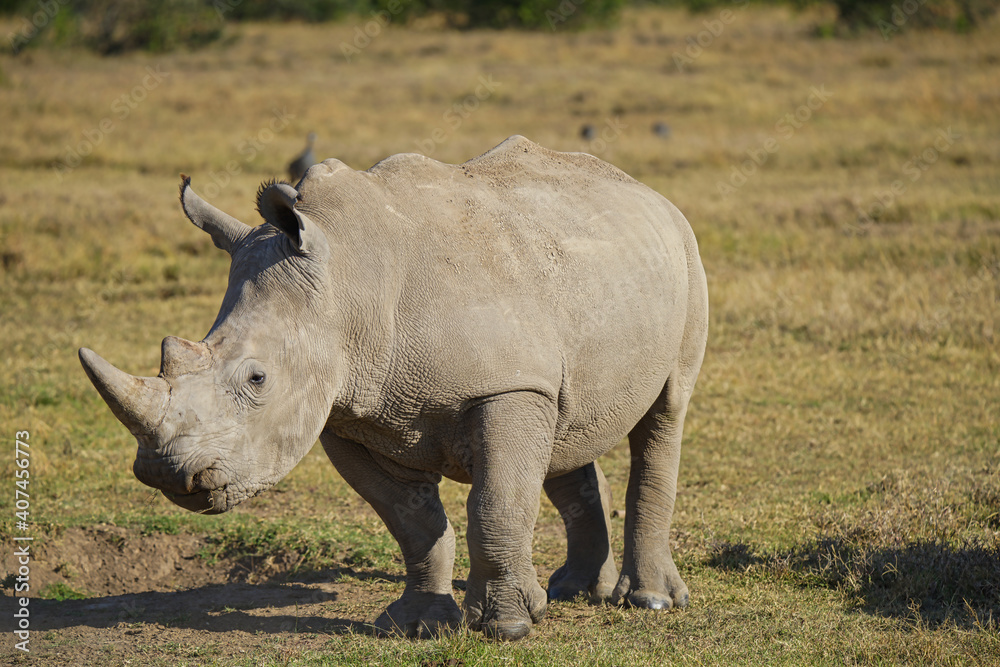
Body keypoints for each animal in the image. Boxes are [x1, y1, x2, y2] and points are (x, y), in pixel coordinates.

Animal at [79, 135, 708, 641]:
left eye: (257, 378)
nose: (167, 476)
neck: (346, 283)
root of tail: (643, 189)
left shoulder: (504, 389)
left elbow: (496, 503)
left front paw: (506, 628)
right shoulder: (346, 413)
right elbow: (412, 520)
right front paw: (417, 625)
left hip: (684, 250)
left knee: (664, 413)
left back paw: (649, 601)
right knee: (563, 425)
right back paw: (572, 591)